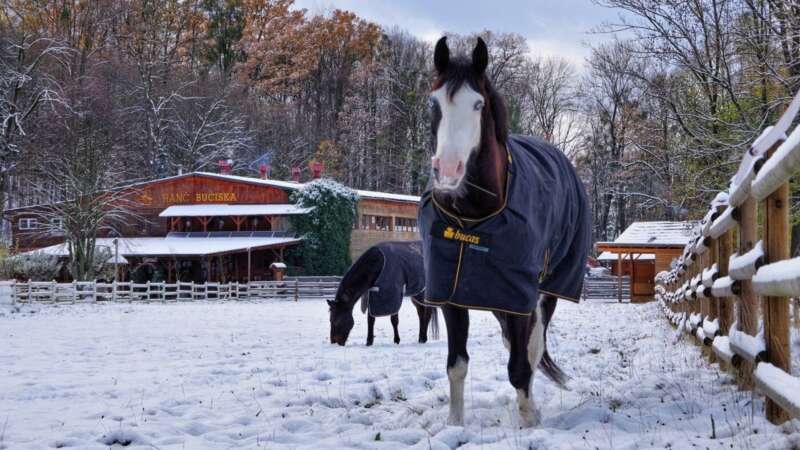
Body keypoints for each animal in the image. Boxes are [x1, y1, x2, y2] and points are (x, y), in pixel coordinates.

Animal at [418, 37, 592, 428]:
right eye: (434, 103)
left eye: (478, 104)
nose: (447, 170)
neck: (474, 219)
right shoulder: (453, 296)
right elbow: (456, 365)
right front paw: (455, 423)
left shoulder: (519, 299)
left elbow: (520, 365)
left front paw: (530, 420)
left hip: (548, 291)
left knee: (532, 348)